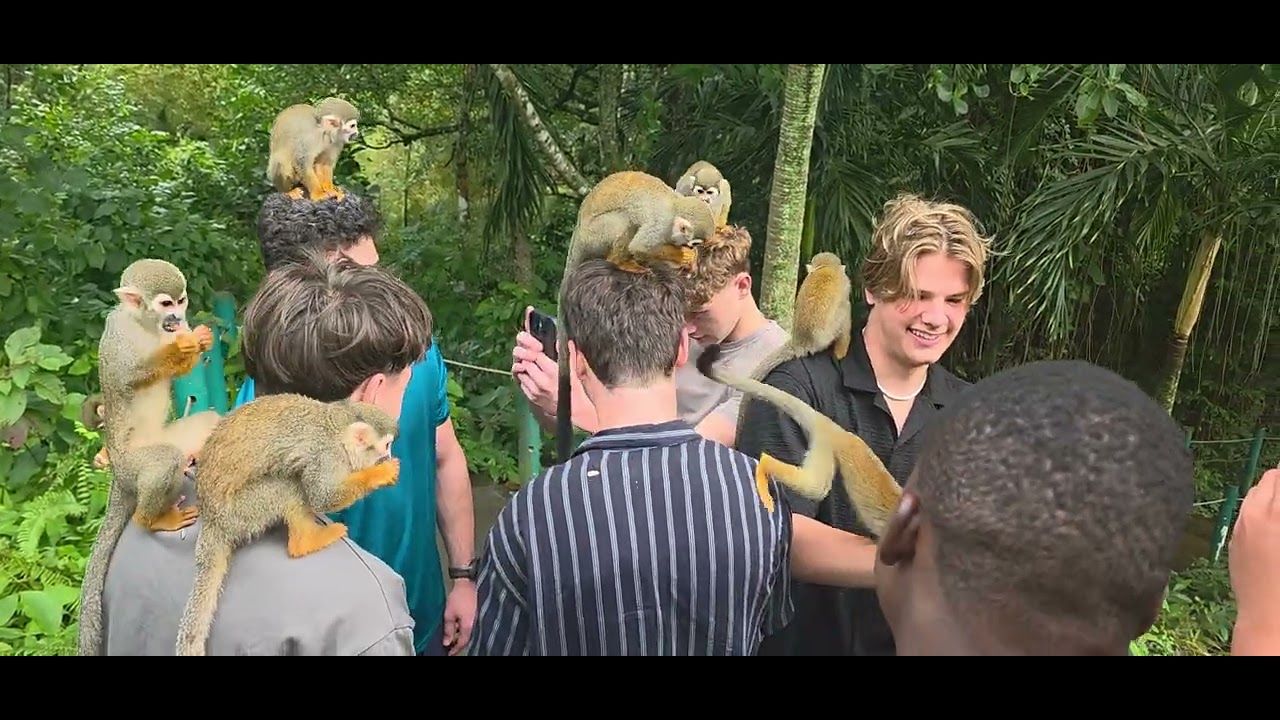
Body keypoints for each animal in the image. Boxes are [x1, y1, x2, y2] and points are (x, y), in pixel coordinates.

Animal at [77, 259, 224, 656]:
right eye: (164, 304)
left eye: (181, 300)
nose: (177, 318)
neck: (145, 326)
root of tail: (118, 474)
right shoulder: (116, 335)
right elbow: (130, 375)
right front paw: (184, 345)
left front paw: (199, 340)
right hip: (133, 465)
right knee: (163, 461)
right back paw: (150, 519)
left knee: (203, 427)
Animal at [173, 393, 400, 656]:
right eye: (386, 446)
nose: (387, 457)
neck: (337, 432)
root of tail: (211, 518)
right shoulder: (327, 457)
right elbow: (322, 496)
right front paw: (379, 474)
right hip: (240, 511)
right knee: (287, 485)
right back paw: (305, 542)